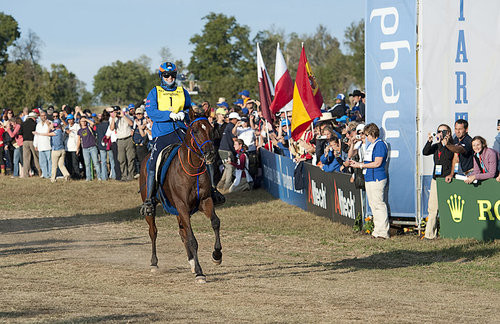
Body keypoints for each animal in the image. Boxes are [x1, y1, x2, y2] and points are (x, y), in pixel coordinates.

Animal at [138, 107, 222, 284]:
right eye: (195, 130)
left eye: (211, 129)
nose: (210, 154)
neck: (192, 169)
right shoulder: (182, 206)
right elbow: (192, 239)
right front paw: (200, 272)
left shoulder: (205, 201)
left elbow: (215, 223)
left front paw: (216, 255)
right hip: (155, 209)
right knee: (153, 231)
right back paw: (154, 263)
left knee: (182, 233)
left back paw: (191, 262)